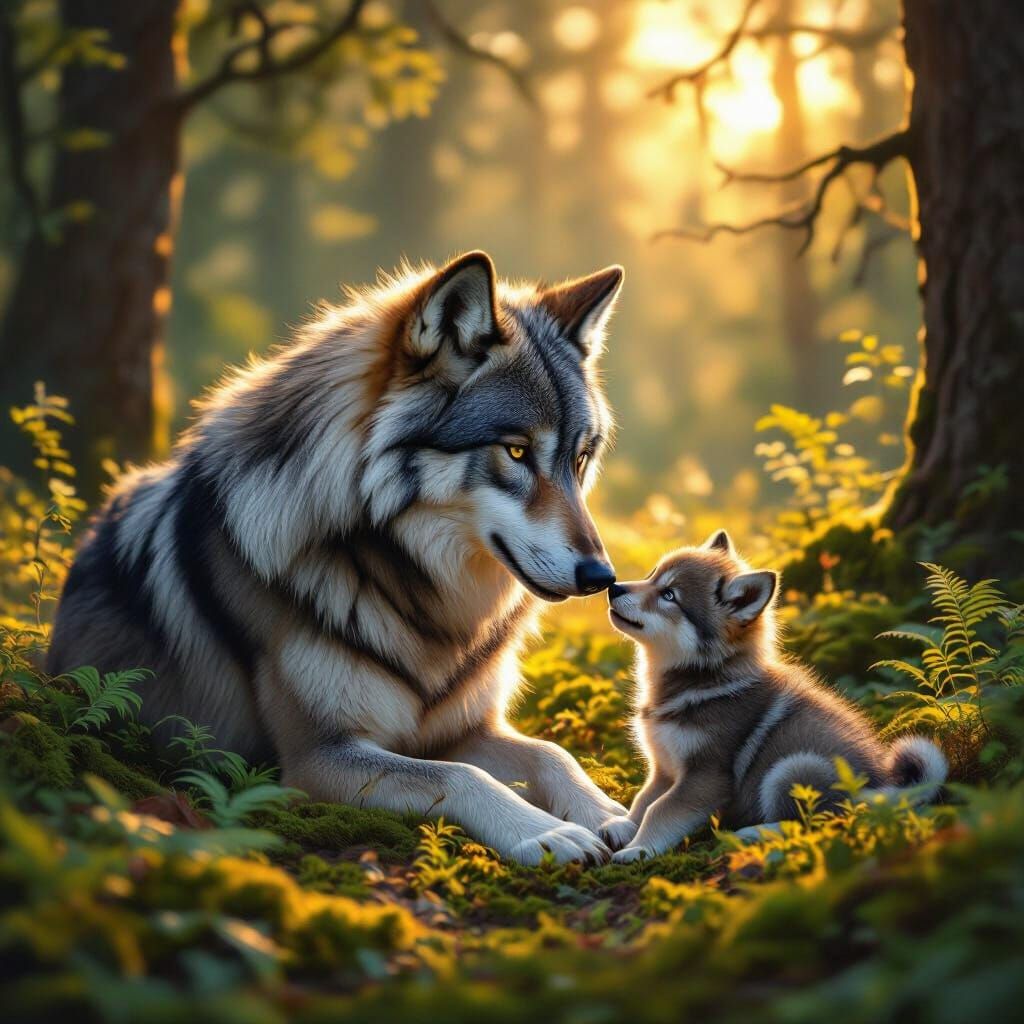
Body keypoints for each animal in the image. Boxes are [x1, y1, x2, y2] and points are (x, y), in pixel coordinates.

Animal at [48, 251, 641, 864]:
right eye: (517, 452)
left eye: (579, 459)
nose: (602, 576)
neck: (419, 600)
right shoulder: (318, 757)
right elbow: (458, 776)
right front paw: (543, 832)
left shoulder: (464, 730)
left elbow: (552, 752)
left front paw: (610, 814)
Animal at [604, 530, 946, 861]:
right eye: (652, 574)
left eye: (669, 595)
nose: (613, 587)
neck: (701, 680)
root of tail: (883, 788)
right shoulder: (663, 767)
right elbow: (644, 798)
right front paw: (624, 825)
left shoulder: (705, 776)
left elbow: (660, 810)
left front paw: (640, 849)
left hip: (792, 768)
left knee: (823, 822)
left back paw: (754, 833)